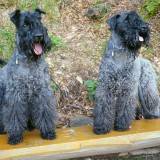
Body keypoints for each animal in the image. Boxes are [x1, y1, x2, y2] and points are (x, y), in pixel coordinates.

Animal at [0, 8, 57, 145]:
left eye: (39, 20)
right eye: (25, 24)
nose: (39, 36)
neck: (30, 62)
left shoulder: (43, 92)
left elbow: (45, 111)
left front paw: (48, 132)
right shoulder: (15, 95)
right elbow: (14, 115)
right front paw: (15, 136)